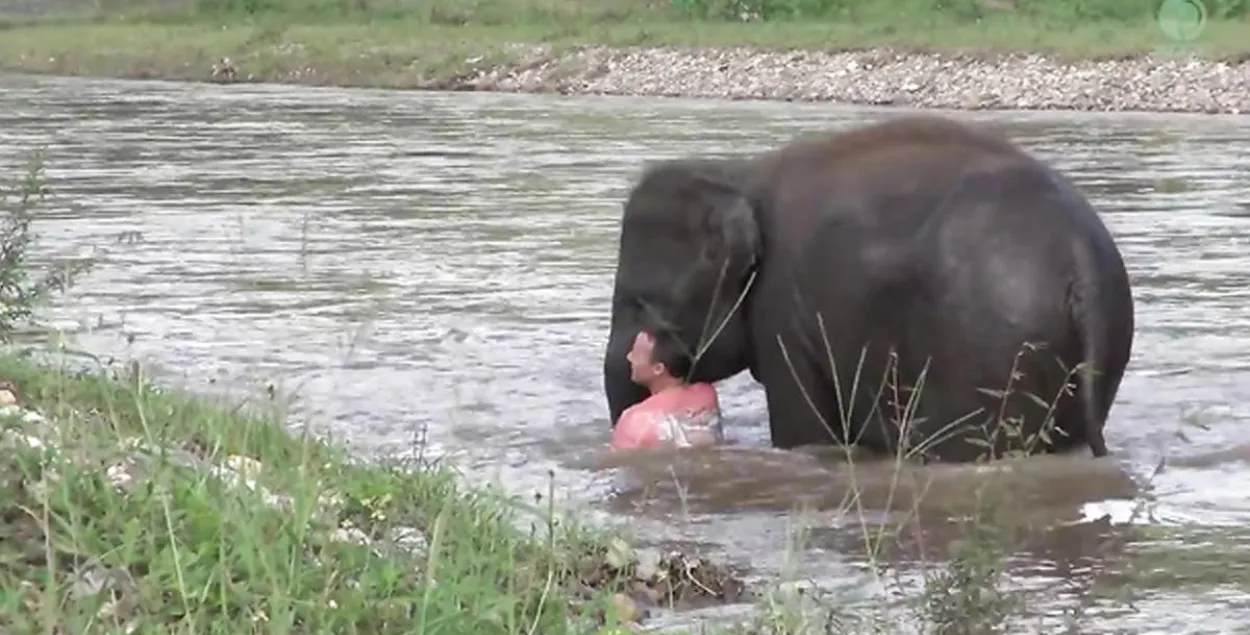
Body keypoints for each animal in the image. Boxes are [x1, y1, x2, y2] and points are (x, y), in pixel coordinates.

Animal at [600, 115, 1140, 462]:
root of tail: (1078, 257)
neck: (738, 173)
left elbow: (803, 429)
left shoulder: (784, 310)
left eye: (639, 301)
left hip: (991, 349)